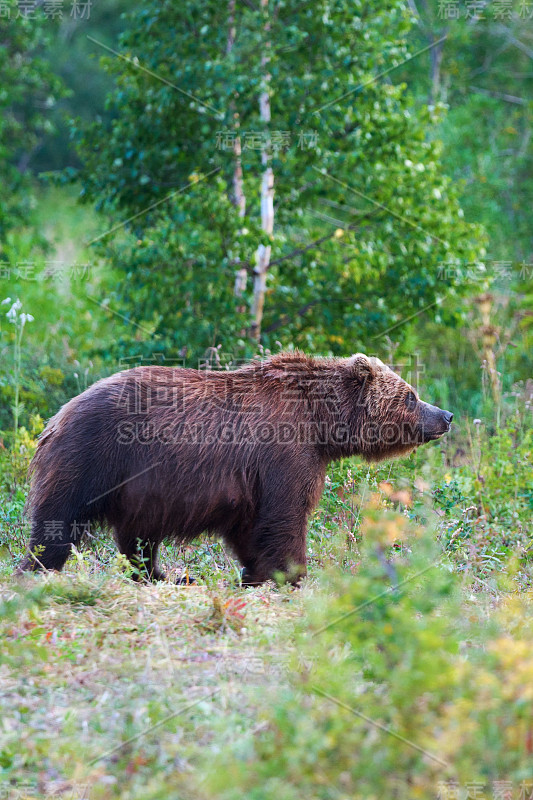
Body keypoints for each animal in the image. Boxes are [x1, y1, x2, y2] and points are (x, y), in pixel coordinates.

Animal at [16, 354, 450, 584]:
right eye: (411, 395)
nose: (445, 415)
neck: (321, 422)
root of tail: (57, 415)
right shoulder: (284, 453)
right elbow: (285, 514)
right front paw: (294, 574)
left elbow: (251, 528)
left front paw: (254, 574)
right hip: (93, 456)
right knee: (59, 520)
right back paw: (38, 568)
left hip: (136, 487)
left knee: (139, 538)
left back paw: (165, 574)